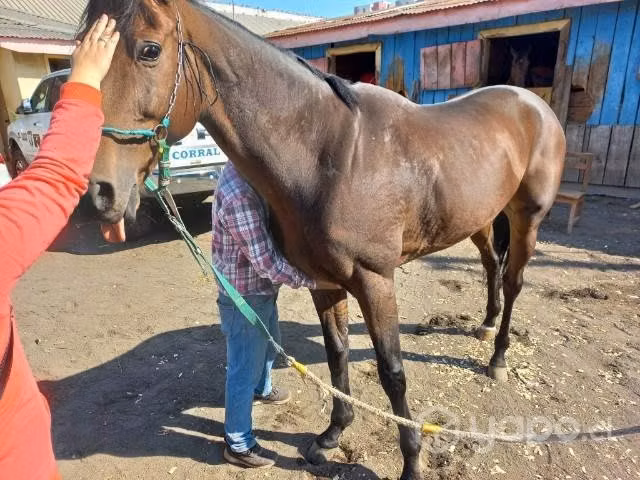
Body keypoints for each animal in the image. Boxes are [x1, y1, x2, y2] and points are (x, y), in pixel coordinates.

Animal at [81, 1, 566, 478]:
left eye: (149, 50)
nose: (101, 190)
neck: (330, 156)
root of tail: (532, 103)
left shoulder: (375, 281)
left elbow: (392, 372)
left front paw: (411, 462)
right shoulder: (326, 282)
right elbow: (337, 355)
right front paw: (331, 435)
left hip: (526, 218)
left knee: (513, 280)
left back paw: (498, 359)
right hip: (480, 219)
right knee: (491, 265)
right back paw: (485, 325)